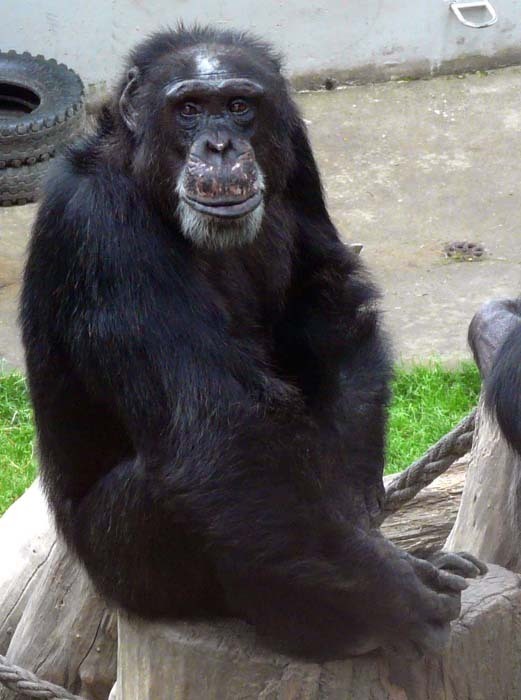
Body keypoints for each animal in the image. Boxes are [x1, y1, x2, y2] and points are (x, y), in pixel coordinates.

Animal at [20, 26, 484, 660]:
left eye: (239, 105)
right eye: (189, 109)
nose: (220, 146)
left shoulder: (298, 152)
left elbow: (326, 292)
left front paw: (361, 509)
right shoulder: (102, 228)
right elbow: (223, 425)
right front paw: (392, 592)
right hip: (125, 567)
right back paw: (325, 620)